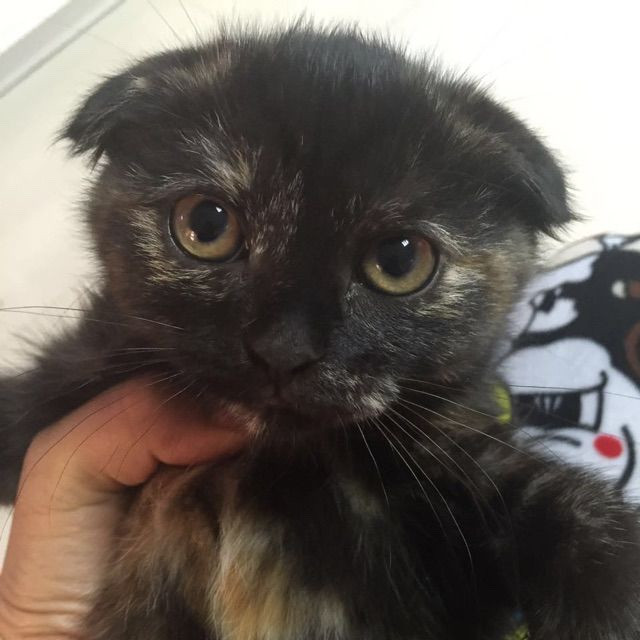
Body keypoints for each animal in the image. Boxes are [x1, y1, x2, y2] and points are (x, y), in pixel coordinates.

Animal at [1, 23, 639, 640]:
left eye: (400, 261)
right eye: (206, 225)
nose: (283, 349)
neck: (283, 459)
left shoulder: (459, 471)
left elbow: (570, 512)